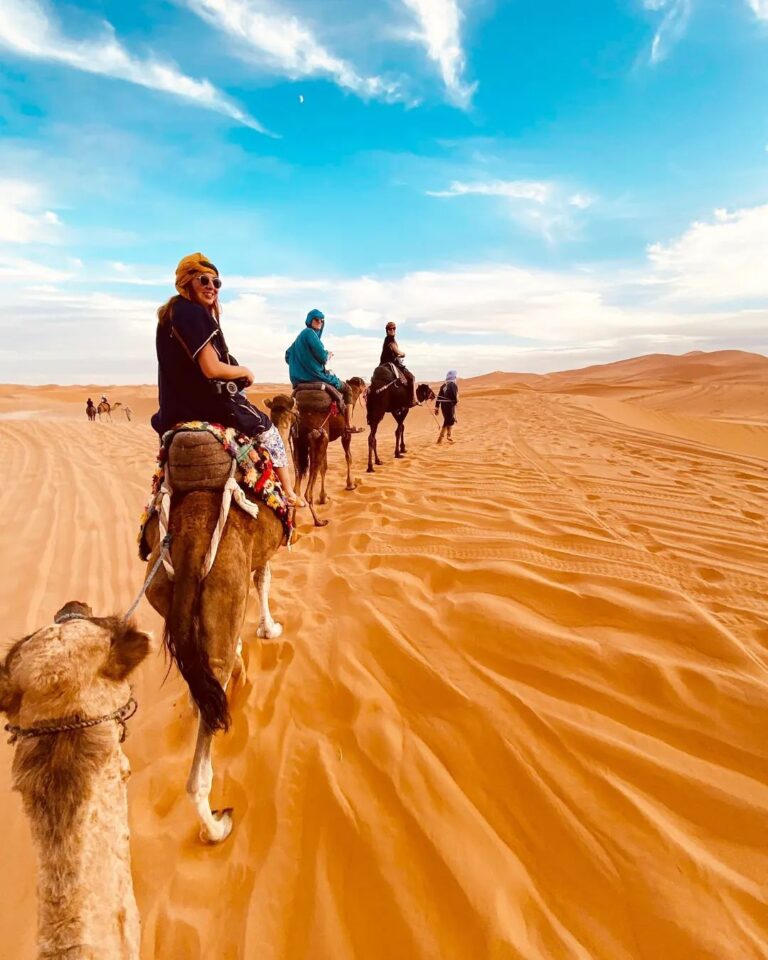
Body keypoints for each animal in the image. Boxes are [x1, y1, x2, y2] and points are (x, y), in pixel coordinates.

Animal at [142, 432, 286, 844]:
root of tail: (190, 542)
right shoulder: (262, 555)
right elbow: (263, 581)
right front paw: (270, 629)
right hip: (226, 580)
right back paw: (216, 827)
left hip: (160, 589)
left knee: (202, 671)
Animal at [292, 376, 368, 528]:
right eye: (362, 383)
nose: (367, 387)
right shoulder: (345, 434)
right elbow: (348, 457)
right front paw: (350, 484)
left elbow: (324, 468)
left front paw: (324, 497)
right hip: (318, 439)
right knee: (307, 492)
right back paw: (319, 521)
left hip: (299, 444)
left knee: (295, 487)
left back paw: (293, 523)